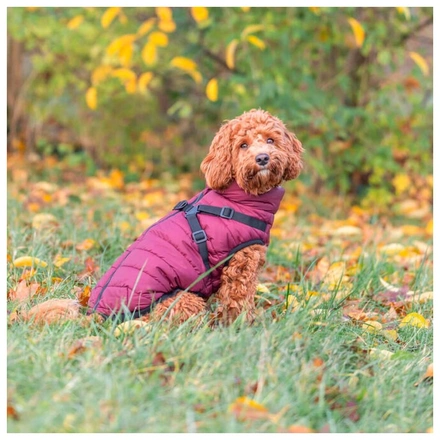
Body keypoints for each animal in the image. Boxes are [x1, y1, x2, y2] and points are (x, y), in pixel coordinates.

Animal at [15, 110, 302, 326]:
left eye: (270, 140)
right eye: (243, 145)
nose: (262, 158)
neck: (237, 197)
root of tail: (97, 316)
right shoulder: (241, 266)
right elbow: (239, 303)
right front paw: (243, 327)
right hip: (183, 301)